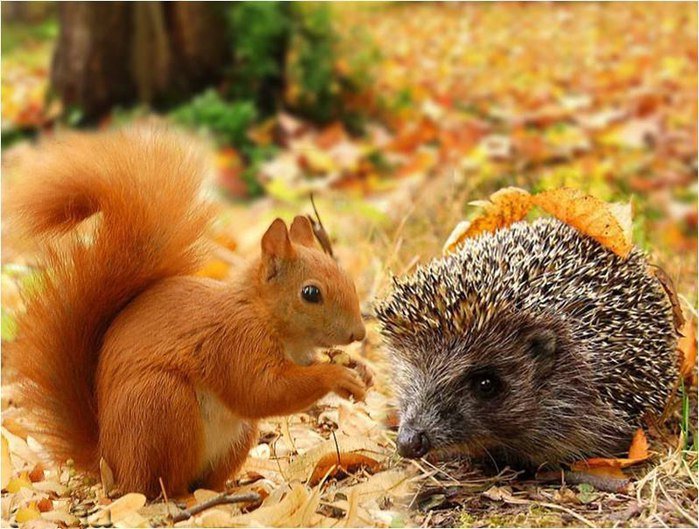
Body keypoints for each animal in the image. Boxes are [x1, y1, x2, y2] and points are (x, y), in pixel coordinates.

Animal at [6, 128, 369, 498]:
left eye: (344, 275)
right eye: (310, 293)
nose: (359, 333)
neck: (264, 314)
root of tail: (110, 464)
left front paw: (360, 371)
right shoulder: (236, 343)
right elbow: (262, 390)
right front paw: (335, 375)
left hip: (234, 436)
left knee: (205, 478)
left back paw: (229, 489)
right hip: (163, 407)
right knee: (158, 484)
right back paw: (184, 497)